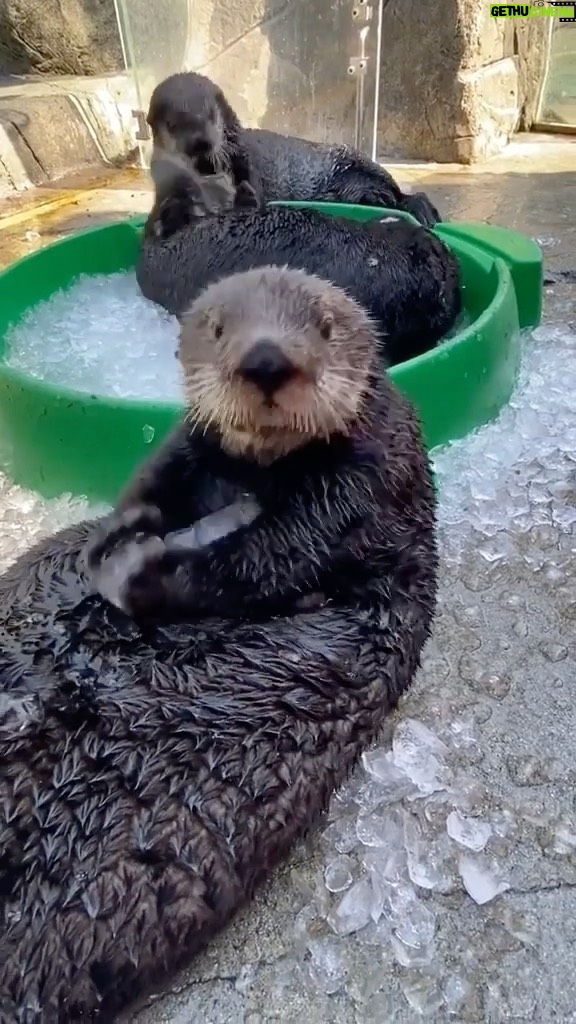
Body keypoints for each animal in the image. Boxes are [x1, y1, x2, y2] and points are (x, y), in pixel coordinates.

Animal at [0, 268, 434, 1019]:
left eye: (324, 327)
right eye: (219, 327)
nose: (265, 361)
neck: (254, 476)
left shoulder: (368, 473)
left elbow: (280, 551)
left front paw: (149, 570)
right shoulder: (188, 448)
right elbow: (154, 479)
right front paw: (119, 538)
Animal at [144, 73, 438, 229]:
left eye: (210, 115)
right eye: (172, 124)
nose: (201, 143)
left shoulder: (246, 161)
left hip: (359, 161)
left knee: (398, 192)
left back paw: (419, 207)